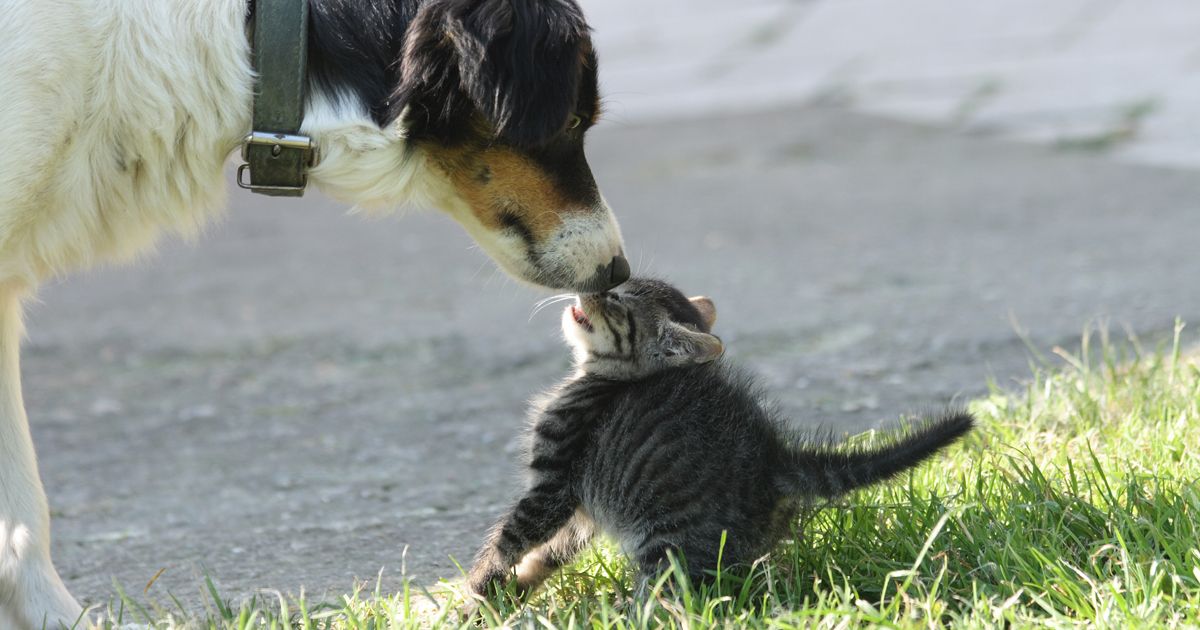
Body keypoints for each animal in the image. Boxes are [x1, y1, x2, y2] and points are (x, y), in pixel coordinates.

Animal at [468, 278, 974, 600]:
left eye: (616, 300)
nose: (590, 285)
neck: (603, 379)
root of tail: (773, 457)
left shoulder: (555, 483)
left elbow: (512, 536)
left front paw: (477, 585)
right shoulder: (582, 511)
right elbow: (549, 552)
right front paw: (512, 590)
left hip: (666, 549)